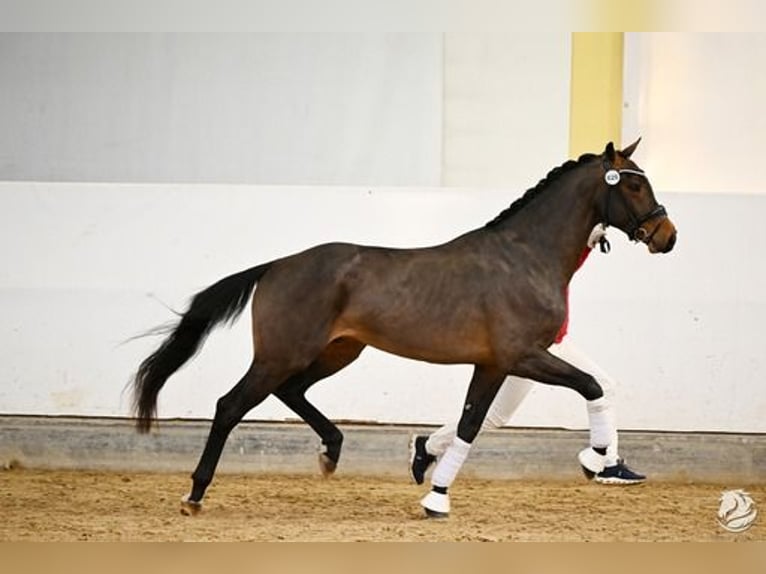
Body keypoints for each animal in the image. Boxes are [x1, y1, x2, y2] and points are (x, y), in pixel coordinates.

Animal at [130, 140, 680, 516]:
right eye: (633, 184)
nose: (667, 236)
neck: (525, 258)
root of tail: (277, 266)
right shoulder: (518, 357)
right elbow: (583, 388)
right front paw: (594, 459)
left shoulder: (493, 364)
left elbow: (471, 423)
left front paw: (434, 488)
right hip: (281, 354)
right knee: (230, 406)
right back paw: (195, 494)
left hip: (336, 352)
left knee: (293, 392)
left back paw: (331, 452)